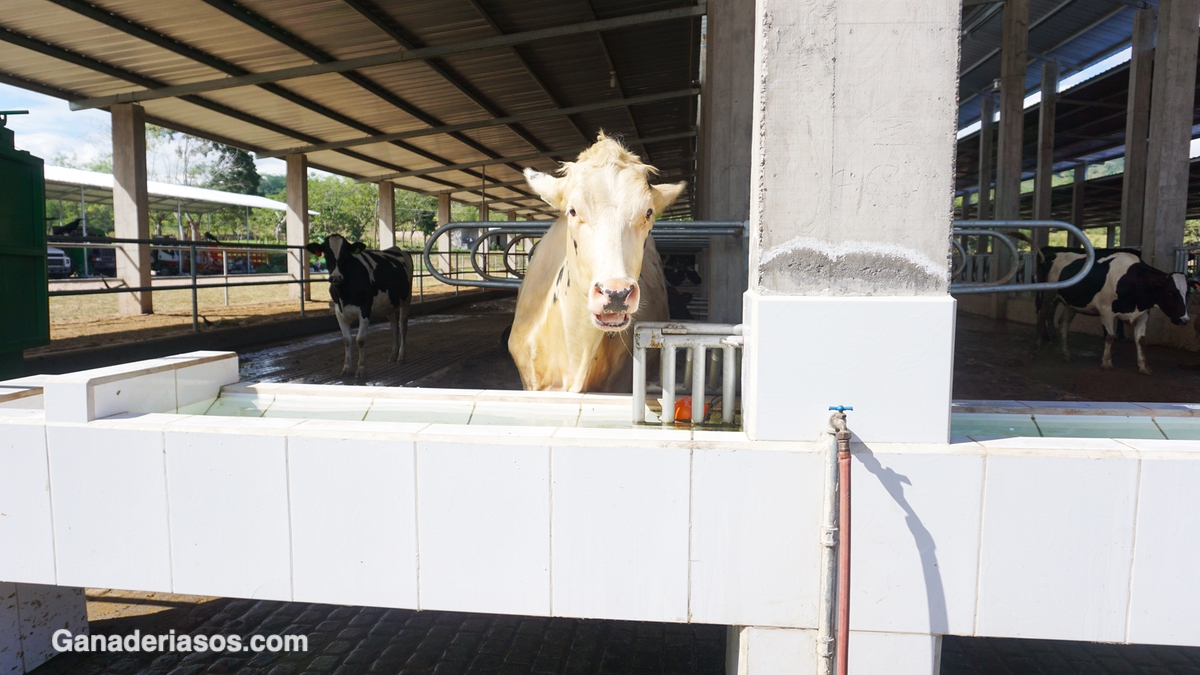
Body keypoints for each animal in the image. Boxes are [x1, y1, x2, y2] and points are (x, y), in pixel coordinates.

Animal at [305, 234, 414, 378]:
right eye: (326, 253)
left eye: (345, 254)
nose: (336, 278)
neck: (344, 293)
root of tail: (396, 248)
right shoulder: (339, 312)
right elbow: (347, 340)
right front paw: (346, 368)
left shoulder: (365, 310)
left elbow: (360, 340)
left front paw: (361, 369)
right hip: (389, 304)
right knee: (394, 326)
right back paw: (393, 354)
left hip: (406, 299)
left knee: (403, 326)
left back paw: (401, 356)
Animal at [1036, 250, 1189, 374]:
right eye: (1170, 292)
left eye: (1187, 293)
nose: (1184, 320)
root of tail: (1055, 254)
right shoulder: (1106, 311)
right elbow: (1110, 336)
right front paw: (1106, 362)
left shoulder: (1142, 314)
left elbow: (1140, 340)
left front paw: (1144, 366)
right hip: (1049, 296)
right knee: (1042, 317)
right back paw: (1040, 343)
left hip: (1071, 304)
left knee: (1063, 324)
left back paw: (1066, 354)